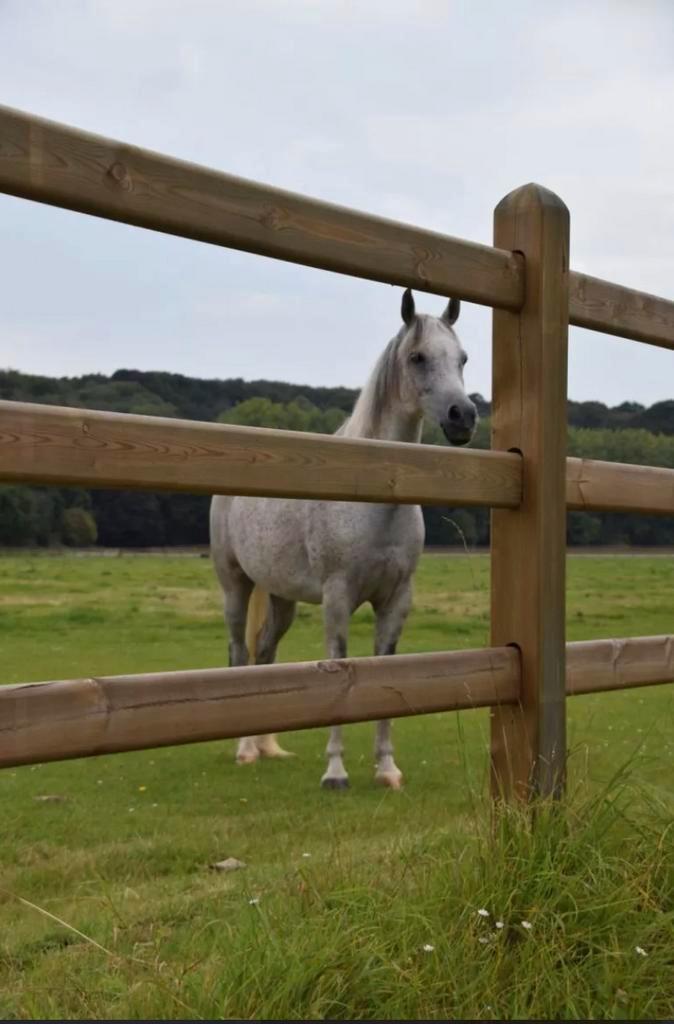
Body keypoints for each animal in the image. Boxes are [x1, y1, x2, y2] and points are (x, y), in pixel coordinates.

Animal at [209, 288, 477, 789]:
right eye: (417, 357)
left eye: (463, 358)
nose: (463, 417)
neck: (377, 500)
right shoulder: (337, 598)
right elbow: (340, 668)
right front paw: (335, 771)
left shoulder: (396, 600)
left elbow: (383, 671)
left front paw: (387, 768)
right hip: (236, 585)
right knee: (239, 654)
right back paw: (244, 749)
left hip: (281, 598)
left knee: (265, 653)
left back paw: (268, 746)